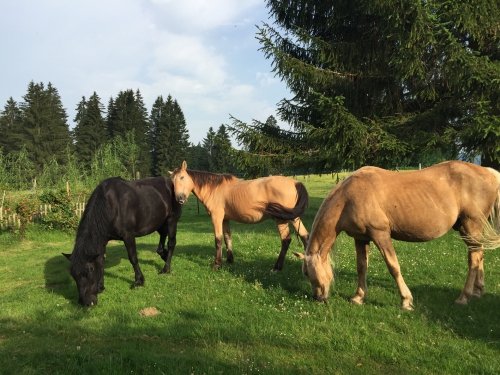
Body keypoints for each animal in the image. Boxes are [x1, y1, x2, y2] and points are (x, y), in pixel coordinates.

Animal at [63, 176, 183, 306]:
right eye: (73, 275)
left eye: (90, 273)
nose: (86, 302)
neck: (111, 205)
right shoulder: (103, 238)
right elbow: (100, 261)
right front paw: (100, 287)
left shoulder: (128, 235)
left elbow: (133, 258)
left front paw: (139, 281)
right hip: (159, 221)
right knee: (162, 236)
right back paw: (164, 255)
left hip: (172, 219)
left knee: (171, 243)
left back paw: (166, 269)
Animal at [171, 161, 308, 270]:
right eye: (172, 182)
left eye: (182, 177)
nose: (179, 199)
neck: (214, 189)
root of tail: (296, 183)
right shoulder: (225, 219)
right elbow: (227, 238)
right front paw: (229, 260)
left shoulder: (216, 218)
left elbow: (218, 240)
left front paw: (217, 264)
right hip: (294, 218)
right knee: (305, 236)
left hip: (281, 220)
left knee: (286, 240)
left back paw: (276, 267)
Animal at [292, 162, 500, 312]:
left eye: (307, 273)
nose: (318, 298)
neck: (348, 198)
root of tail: (489, 172)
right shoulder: (361, 238)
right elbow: (361, 267)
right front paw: (359, 297)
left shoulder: (380, 234)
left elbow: (393, 267)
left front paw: (406, 301)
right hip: (468, 230)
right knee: (479, 254)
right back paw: (477, 291)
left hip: (471, 226)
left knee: (474, 258)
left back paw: (463, 297)